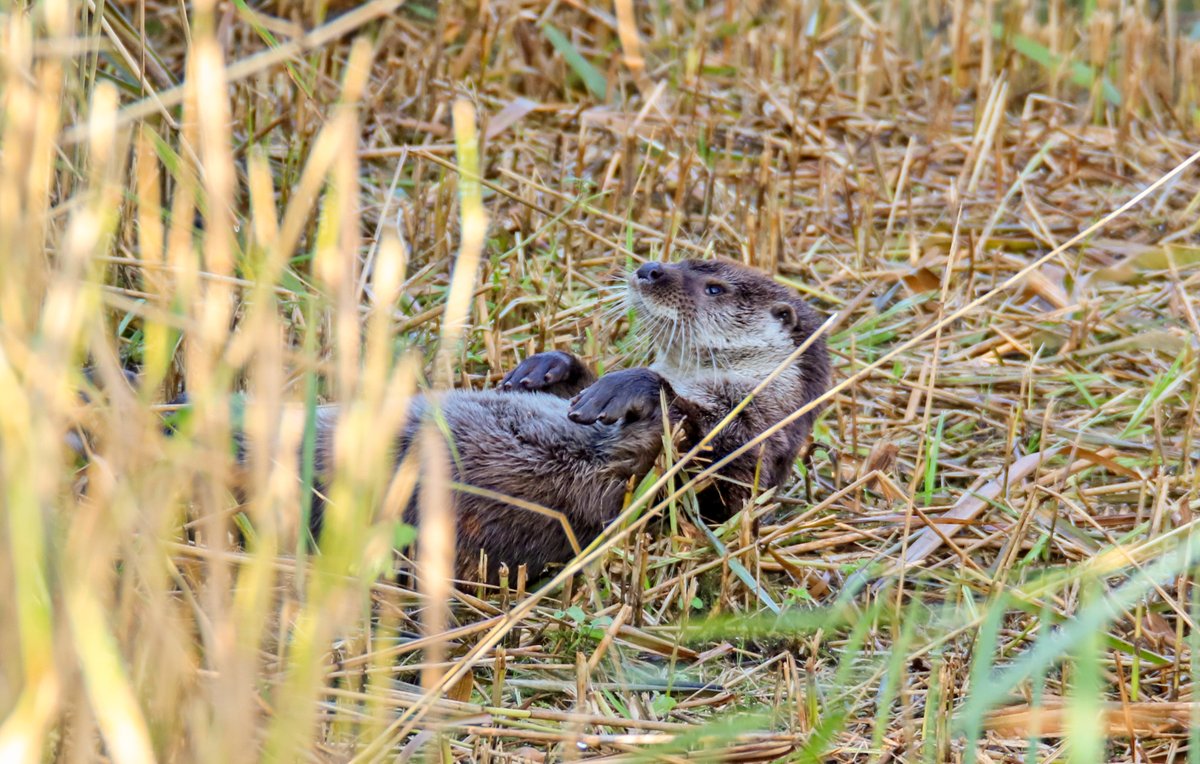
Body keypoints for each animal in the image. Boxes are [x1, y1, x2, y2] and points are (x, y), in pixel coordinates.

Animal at [312, 259, 830, 582]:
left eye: (715, 287)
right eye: (685, 259)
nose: (650, 268)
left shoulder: (750, 442)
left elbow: (701, 469)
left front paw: (626, 387)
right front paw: (544, 367)